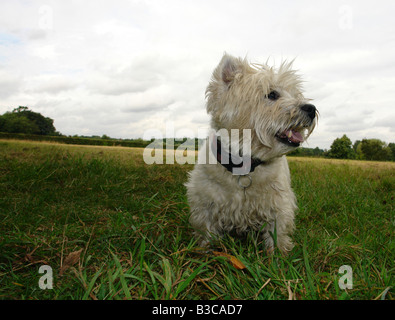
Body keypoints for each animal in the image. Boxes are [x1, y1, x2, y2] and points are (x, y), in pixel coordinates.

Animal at [186, 53, 318, 254]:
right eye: (272, 94)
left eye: (296, 95)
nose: (311, 109)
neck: (244, 164)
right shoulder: (205, 203)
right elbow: (207, 230)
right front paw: (207, 251)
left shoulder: (278, 204)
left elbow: (277, 233)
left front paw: (278, 256)